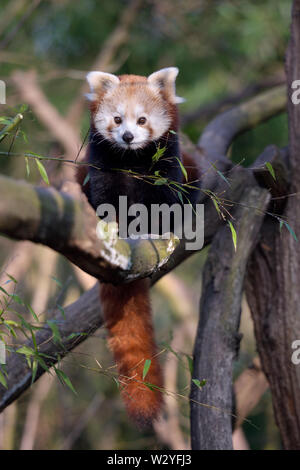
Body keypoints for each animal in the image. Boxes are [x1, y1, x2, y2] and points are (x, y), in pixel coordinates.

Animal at [77, 67, 199, 426]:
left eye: (142, 119)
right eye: (117, 119)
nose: (128, 136)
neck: (132, 160)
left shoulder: (166, 165)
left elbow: (165, 198)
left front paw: (156, 226)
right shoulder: (101, 167)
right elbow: (106, 198)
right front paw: (115, 223)